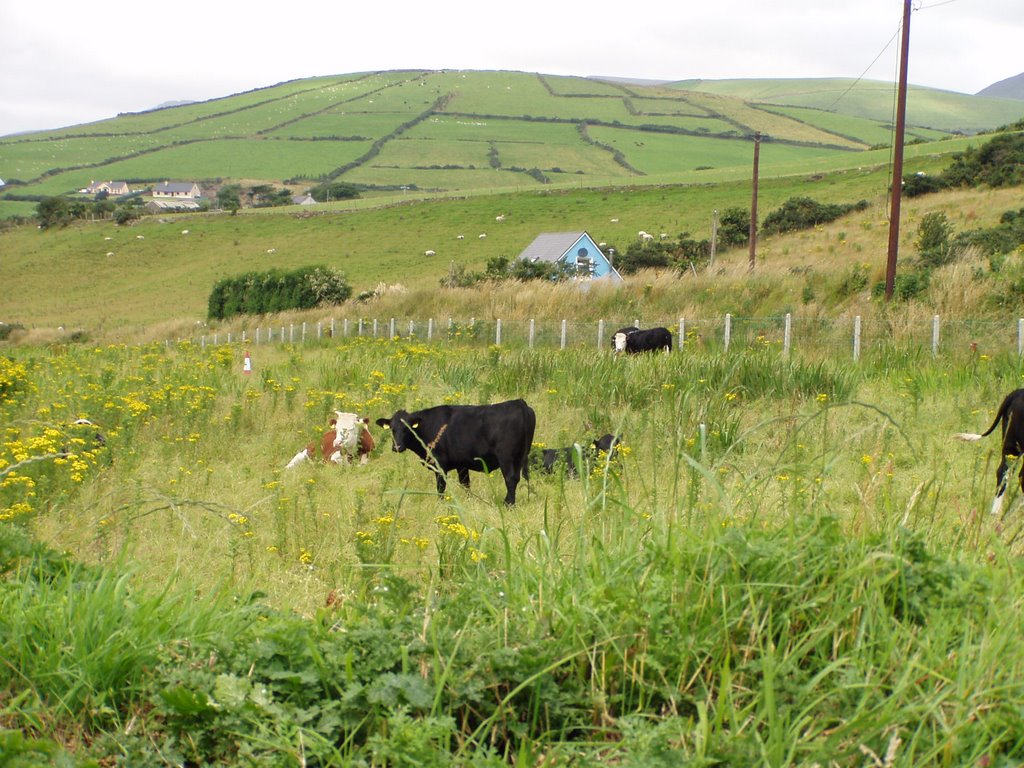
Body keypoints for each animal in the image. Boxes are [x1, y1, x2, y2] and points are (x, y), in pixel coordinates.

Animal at [376, 399, 536, 507]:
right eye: (392, 429)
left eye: (407, 428)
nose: (397, 447)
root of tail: (518, 402)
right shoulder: (462, 464)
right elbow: (465, 484)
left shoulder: (439, 463)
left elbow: (441, 486)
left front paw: (440, 504)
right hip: (520, 456)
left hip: (506, 457)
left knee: (510, 478)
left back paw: (508, 504)